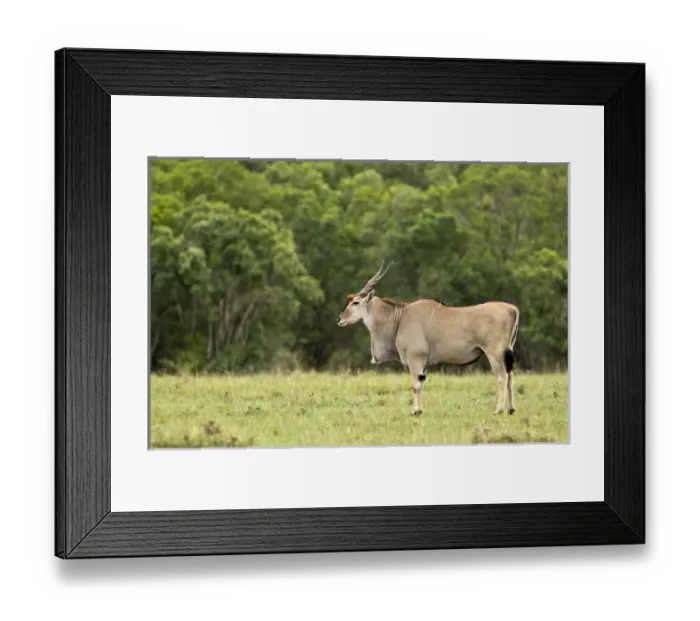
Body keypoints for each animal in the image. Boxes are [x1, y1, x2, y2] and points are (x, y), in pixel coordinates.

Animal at [336, 261, 520, 416]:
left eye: (355, 302)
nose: (339, 319)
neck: (400, 318)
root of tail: (512, 309)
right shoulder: (424, 364)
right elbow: (421, 385)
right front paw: (419, 410)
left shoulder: (415, 358)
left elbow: (415, 385)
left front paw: (415, 411)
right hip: (506, 352)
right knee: (510, 376)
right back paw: (511, 409)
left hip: (494, 353)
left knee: (502, 378)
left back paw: (499, 410)